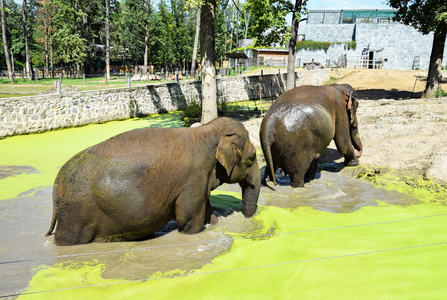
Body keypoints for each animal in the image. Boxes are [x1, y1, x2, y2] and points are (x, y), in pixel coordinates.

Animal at [45, 116, 260, 245]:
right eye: (251, 159)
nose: (247, 218)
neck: (207, 132)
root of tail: (56, 186)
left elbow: (206, 213)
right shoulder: (194, 178)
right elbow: (189, 221)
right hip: (76, 212)